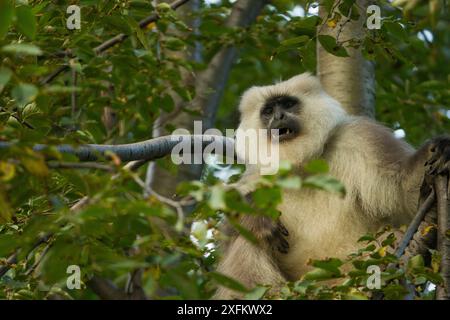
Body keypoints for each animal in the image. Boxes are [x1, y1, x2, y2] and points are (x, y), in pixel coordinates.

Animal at [214, 73, 450, 300]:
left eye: (288, 104)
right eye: (269, 110)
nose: (278, 117)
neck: (302, 169)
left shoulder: (359, 138)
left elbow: (402, 188)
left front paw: (440, 149)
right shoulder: (255, 177)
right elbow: (228, 235)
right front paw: (255, 214)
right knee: (251, 239)